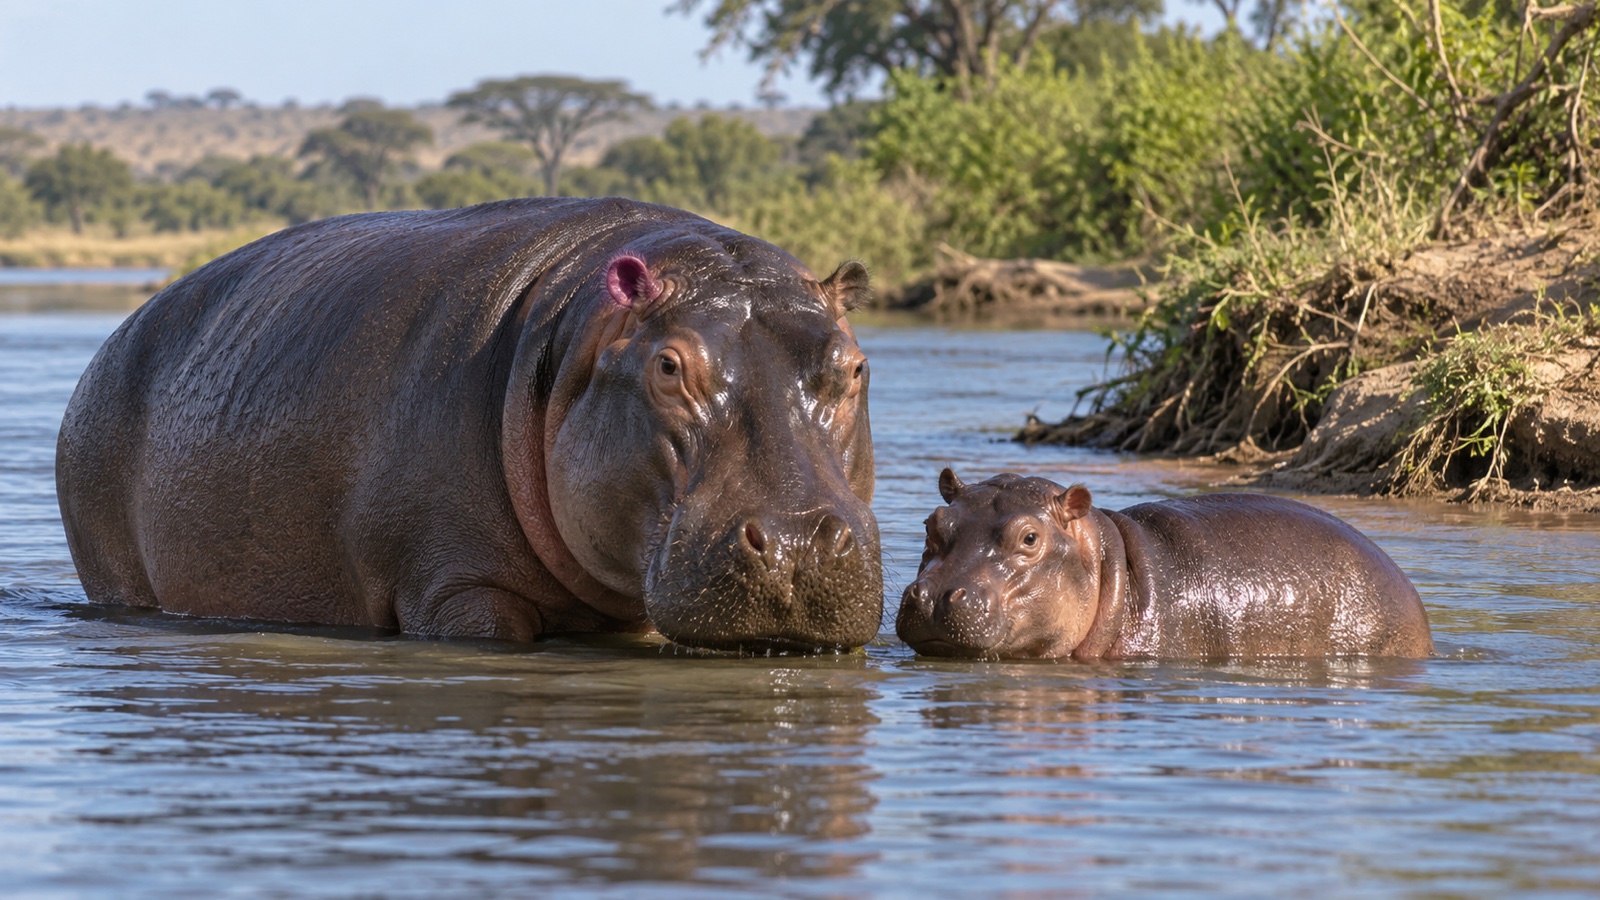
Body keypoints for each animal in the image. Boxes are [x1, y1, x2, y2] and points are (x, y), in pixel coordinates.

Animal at [56, 198, 883, 652]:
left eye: (854, 365)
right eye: (670, 366)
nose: (798, 545)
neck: (584, 337)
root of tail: (111, 340)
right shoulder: (454, 586)